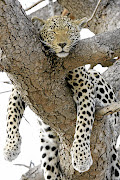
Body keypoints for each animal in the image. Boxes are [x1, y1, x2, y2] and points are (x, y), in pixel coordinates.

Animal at [3, 14, 119, 179]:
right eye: (53, 32)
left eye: (69, 31)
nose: (62, 44)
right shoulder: (19, 86)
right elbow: (11, 114)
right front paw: (10, 147)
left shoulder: (84, 85)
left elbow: (83, 122)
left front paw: (81, 156)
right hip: (47, 150)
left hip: (95, 77)